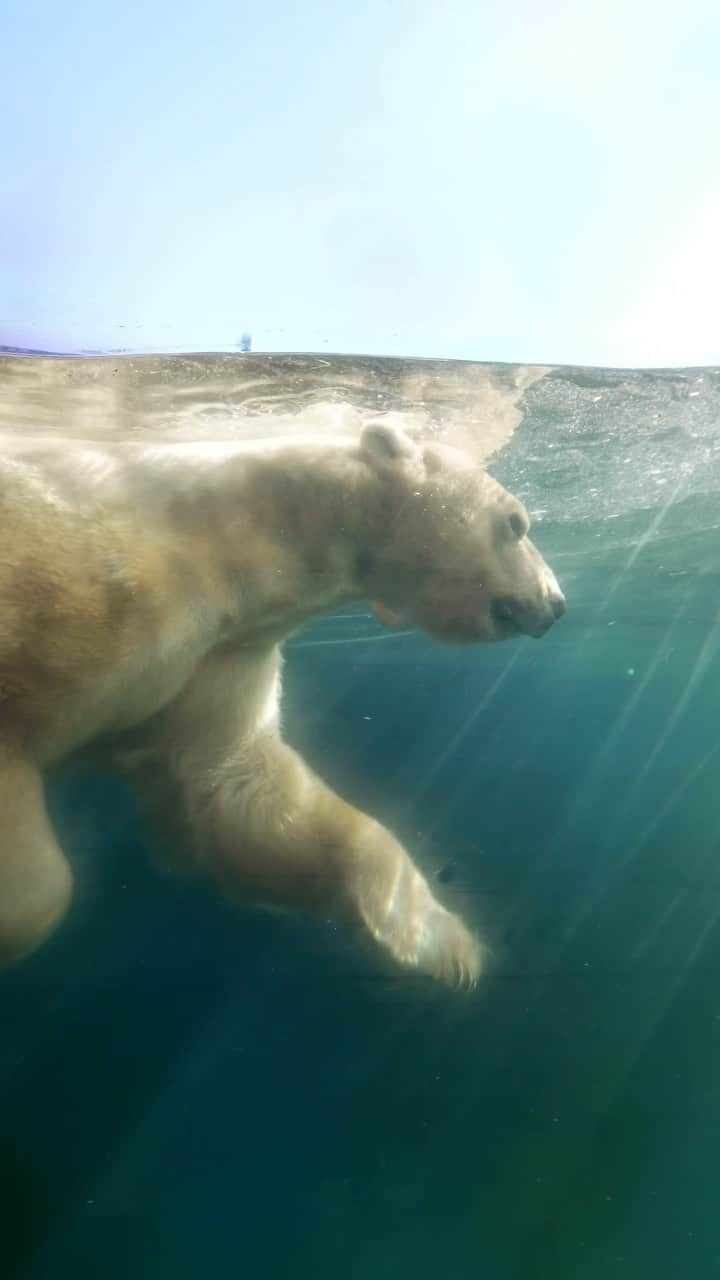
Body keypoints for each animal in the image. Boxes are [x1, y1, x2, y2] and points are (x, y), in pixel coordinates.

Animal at [0, 419, 563, 988]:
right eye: (516, 523)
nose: (556, 603)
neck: (219, 541)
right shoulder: (77, 597)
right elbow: (42, 890)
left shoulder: (219, 656)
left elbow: (244, 794)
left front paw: (450, 946)